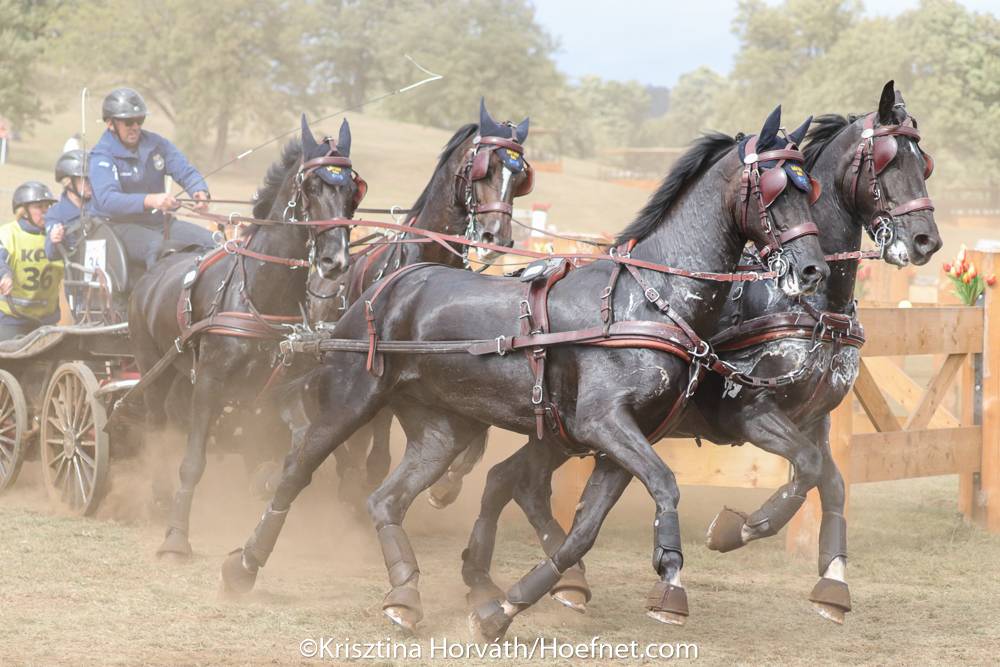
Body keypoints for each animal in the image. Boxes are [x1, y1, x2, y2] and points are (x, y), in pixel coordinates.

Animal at [127, 115, 361, 559]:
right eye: (311, 186)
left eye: (353, 191)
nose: (335, 261)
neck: (259, 292)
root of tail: (159, 263)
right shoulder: (210, 382)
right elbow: (193, 461)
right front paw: (176, 537)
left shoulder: (282, 388)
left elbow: (297, 442)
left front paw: (267, 478)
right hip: (153, 368)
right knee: (155, 427)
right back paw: (159, 495)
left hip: (183, 376)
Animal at [220, 105, 830, 638]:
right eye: (774, 187)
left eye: (810, 189)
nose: (812, 269)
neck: (647, 301)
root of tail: (386, 284)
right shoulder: (604, 425)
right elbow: (664, 484)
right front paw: (671, 578)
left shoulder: (620, 443)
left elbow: (582, 534)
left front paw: (502, 610)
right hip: (352, 401)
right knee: (298, 469)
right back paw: (244, 565)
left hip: (443, 429)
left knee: (387, 499)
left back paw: (406, 595)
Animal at [457, 80, 942, 626]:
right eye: (886, 161)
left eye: (923, 163)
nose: (926, 240)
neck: (809, 305)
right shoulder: (748, 412)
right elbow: (807, 468)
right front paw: (736, 529)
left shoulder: (816, 419)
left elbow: (829, 481)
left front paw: (832, 582)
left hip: (562, 433)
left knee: (509, 479)